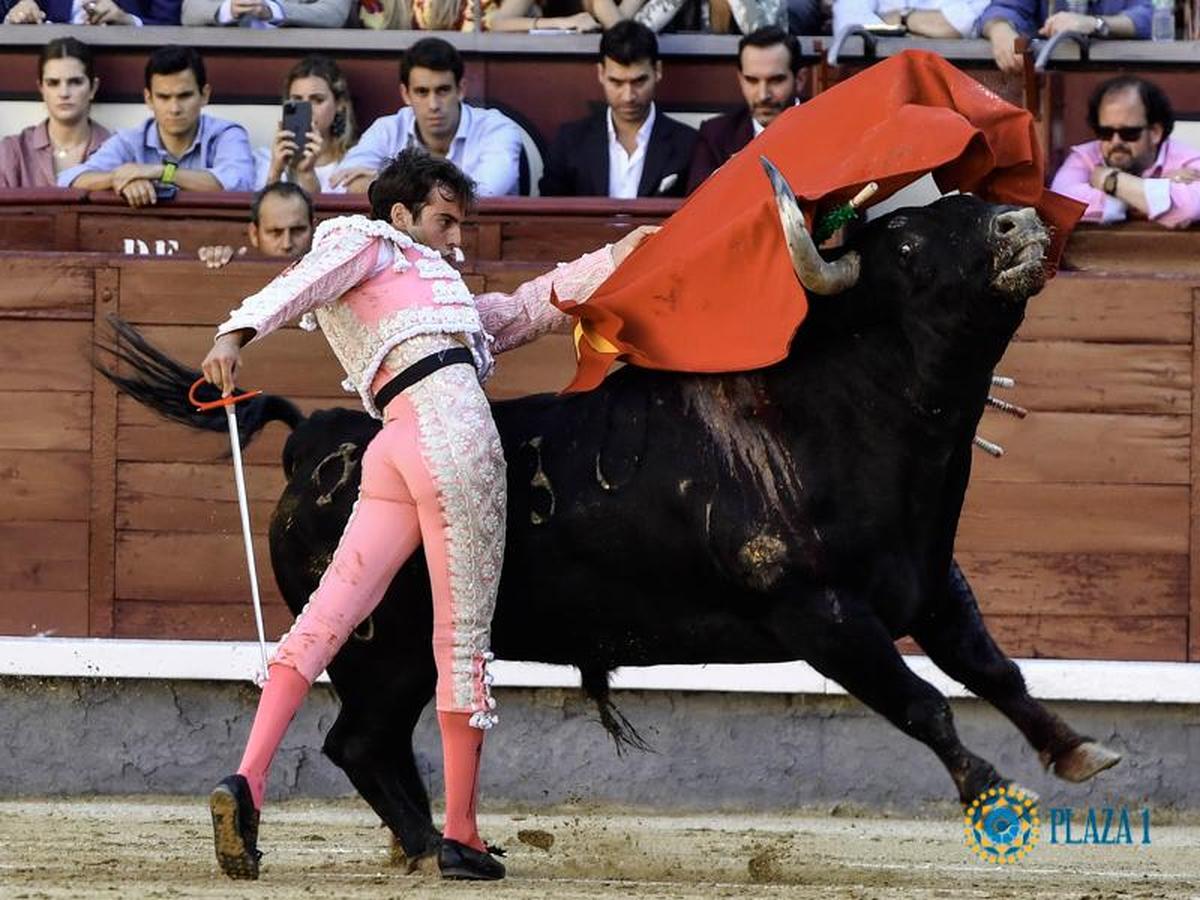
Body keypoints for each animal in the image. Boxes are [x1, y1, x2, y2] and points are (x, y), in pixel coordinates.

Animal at [98, 190, 1118, 868]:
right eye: (906, 238)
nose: (1021, 225)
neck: (837, 411)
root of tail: (319, 438)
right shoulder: (819, 615)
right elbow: (923, 702)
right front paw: (995, 791)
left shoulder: (931, 586)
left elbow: (996, 669)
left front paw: (1078, 750)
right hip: (379, 643)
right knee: (357, 736)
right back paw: (432, 846)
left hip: (402, 650)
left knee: (371, 743)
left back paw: (433, 843)